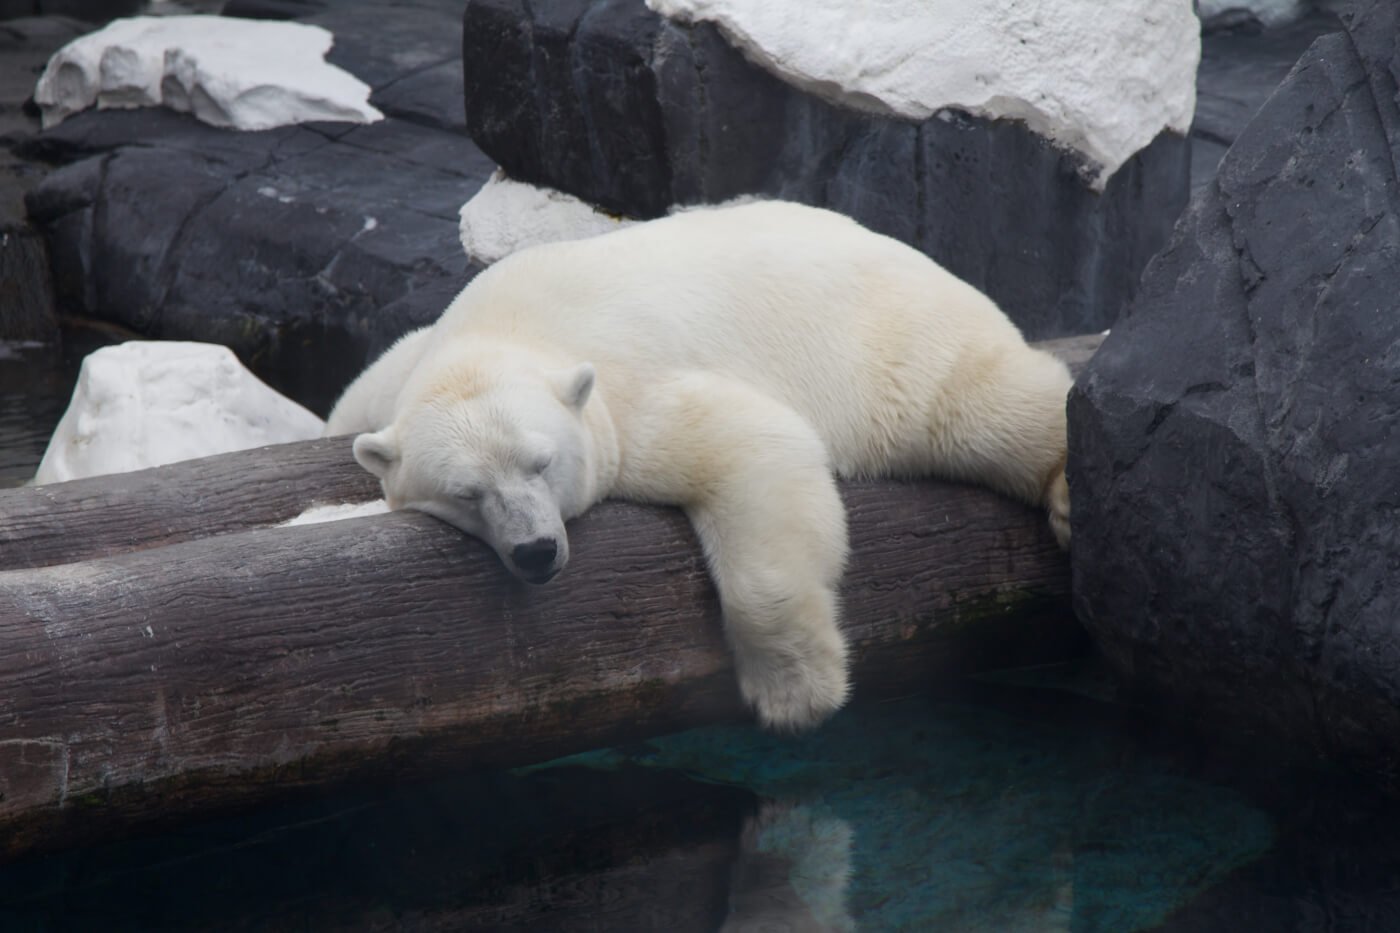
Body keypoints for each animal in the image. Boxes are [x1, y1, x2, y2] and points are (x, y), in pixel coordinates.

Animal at [327, 200, 1069, 728]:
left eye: (541, 463)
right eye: (467, 493)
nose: (536, 551)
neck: (507, 326)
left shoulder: (627, 393)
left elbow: (759, 445)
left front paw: (797, 691)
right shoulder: (398, 373)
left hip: (890, 347)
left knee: (975, 405)